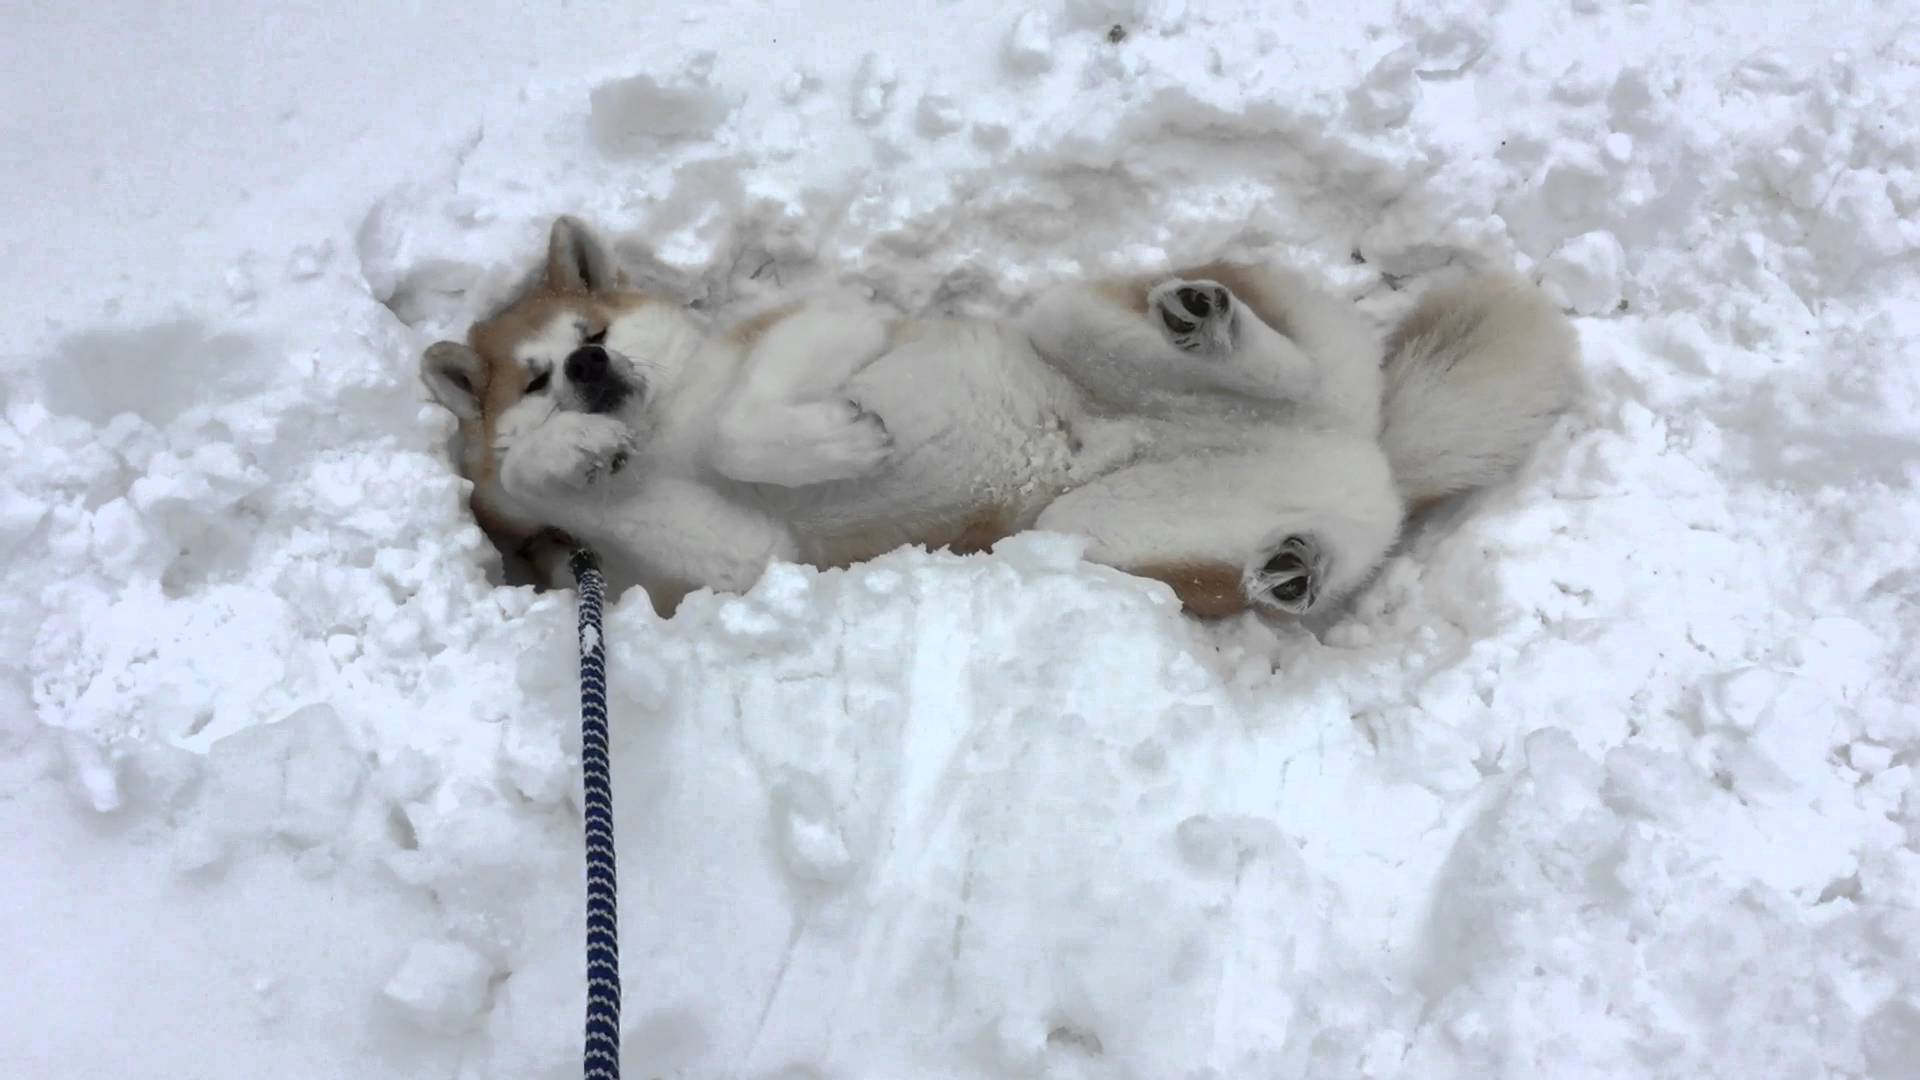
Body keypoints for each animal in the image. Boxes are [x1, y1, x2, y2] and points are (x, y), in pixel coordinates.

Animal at [420, 216, 1574, 614]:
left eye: (585, 332)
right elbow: (547, 479)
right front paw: (569, 455)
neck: (665, 430)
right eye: (535, 378)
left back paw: (1207, 325)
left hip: (1070, 317)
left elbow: (744, 418)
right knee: (1317, 537)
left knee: (1283, 370)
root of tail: (1368, 451)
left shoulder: (832, 322)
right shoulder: (737, 563)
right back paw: (1294, 564)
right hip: (1092, 535)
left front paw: (838, 435)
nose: (591, 367)